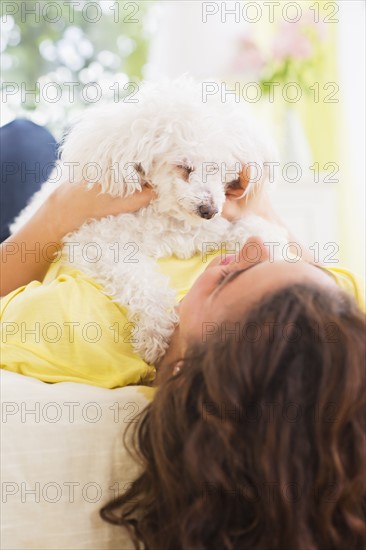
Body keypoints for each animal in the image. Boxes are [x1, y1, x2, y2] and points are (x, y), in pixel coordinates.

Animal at [11, 76, 288, 362]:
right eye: (184, 167)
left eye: (222, 170)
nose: (208, 210)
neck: (169, 217)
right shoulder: (97, 241)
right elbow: (144, 283)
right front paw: (155, 333)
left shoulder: (215, 225)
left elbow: (253, 227)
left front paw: (274, 255)